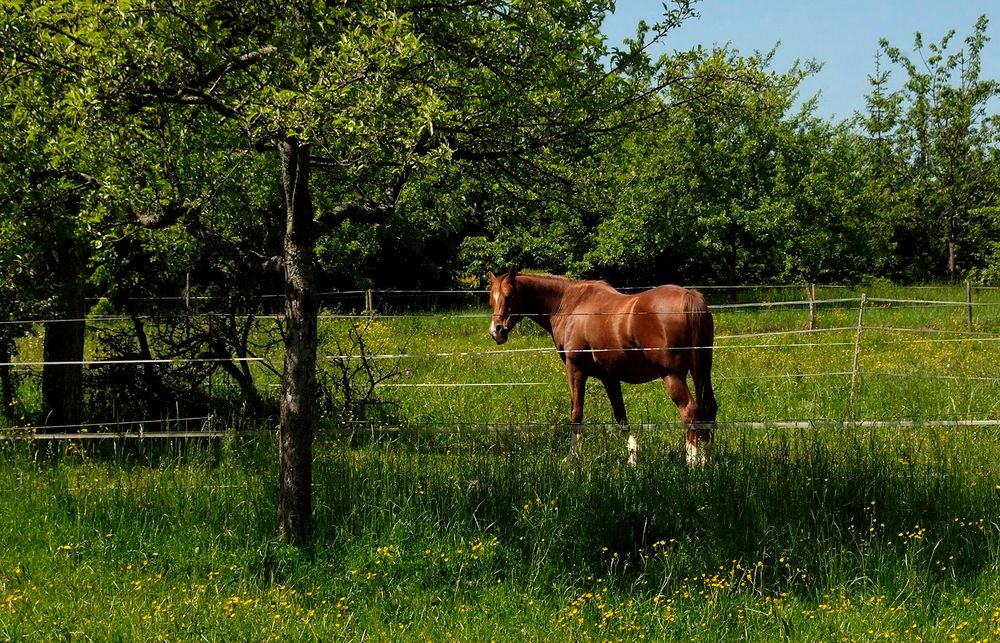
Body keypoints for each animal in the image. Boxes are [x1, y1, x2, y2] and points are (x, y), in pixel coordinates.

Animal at [486, 270, 716, 466]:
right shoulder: (609, 377)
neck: (568, 304)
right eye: (491, 299)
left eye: (509, 296)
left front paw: (572, 458)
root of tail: (688, 295)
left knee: (689, 410)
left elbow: (576, 414)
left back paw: (692, 462)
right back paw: (707, 459)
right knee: (710, 408)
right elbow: (620, 415)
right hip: (702, 371)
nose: (496, 331)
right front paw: (632, 456)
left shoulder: (576, 370)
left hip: (672, 376)